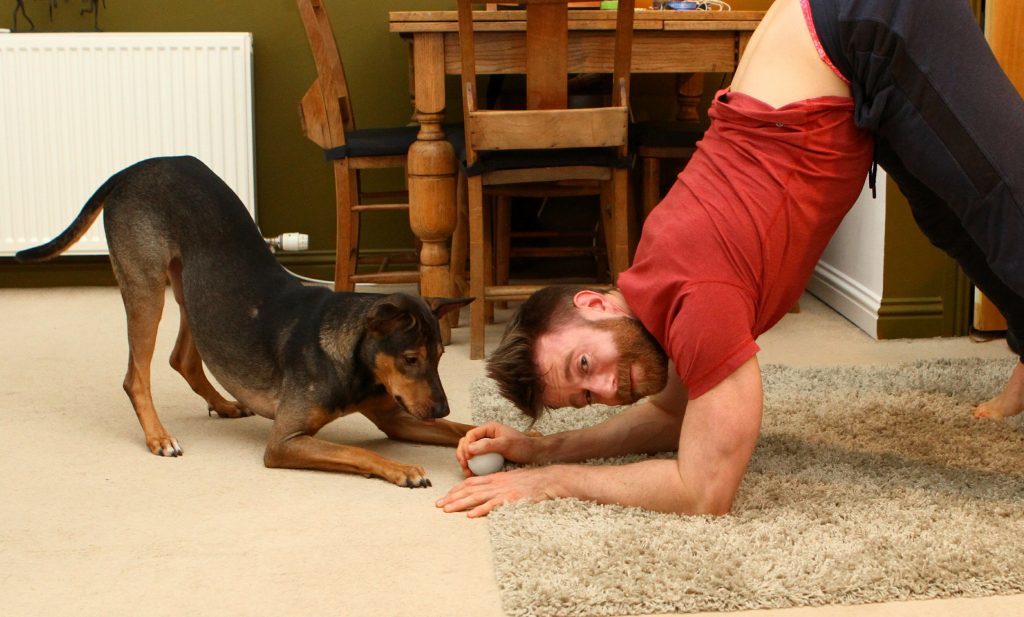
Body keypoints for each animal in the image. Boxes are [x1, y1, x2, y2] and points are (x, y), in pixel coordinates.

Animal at [17, 154, 471, 487]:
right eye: (410, 359)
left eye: (440, 357)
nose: (442, 407)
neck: (355, 363)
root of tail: (132, 169)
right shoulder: (284, 442)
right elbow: (358, 451)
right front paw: (405, 469)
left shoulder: (397, 417)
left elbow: (461, 430)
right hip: (147, 288)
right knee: (136, 377)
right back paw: (158, 437)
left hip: (193, 289)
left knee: (183, 358)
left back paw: (222, 404)